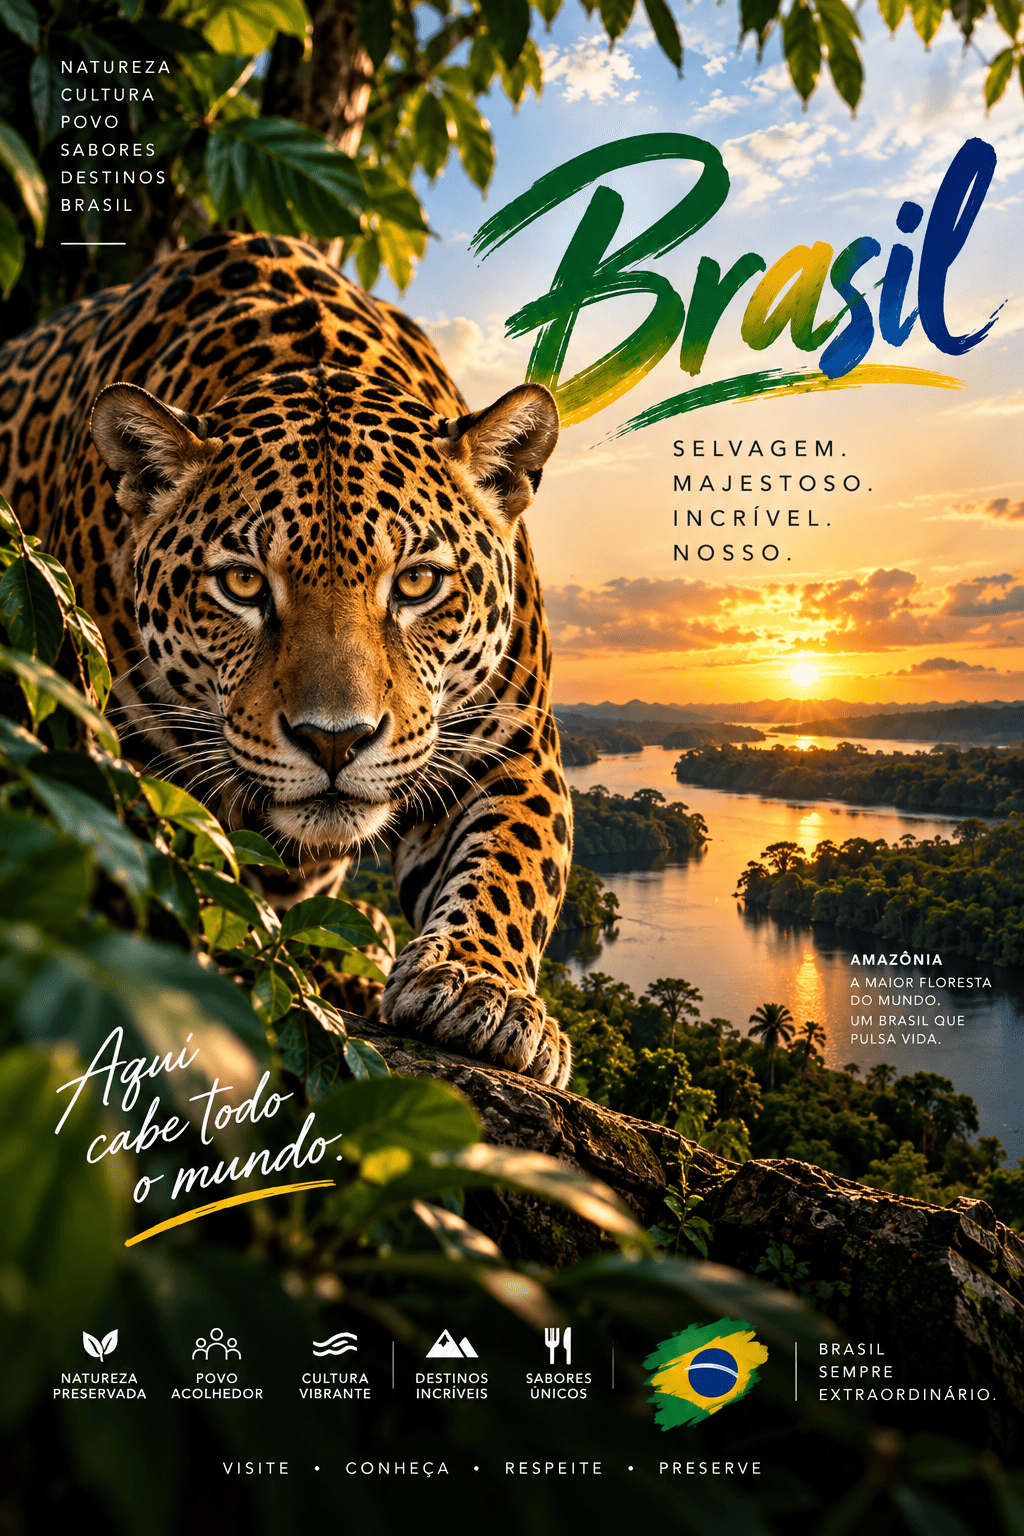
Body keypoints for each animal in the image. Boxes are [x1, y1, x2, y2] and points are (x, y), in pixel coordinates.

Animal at [0, 231, 574, 1088]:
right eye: (242, 583)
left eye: (417, 582)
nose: (335, 741)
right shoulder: (106, 742)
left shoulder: (511, 738)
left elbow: (518, 861)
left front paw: (481, 988)